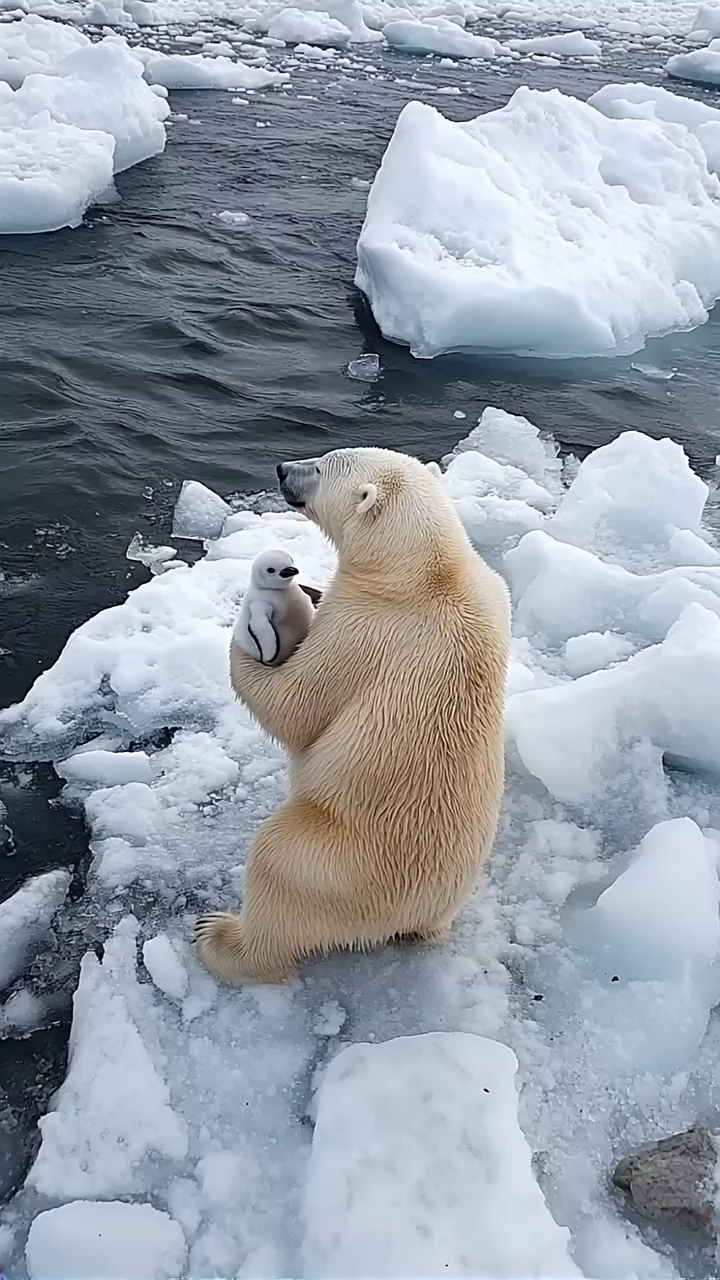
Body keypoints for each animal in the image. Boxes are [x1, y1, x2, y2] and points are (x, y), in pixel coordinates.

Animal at [193, 445, 509, 983]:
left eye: (320, 467)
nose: (282, 469)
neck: (427, 574)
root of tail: (414, 911)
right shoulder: (497, 596)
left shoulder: (363, 627)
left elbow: (296, 707)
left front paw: (247, 630)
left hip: (336, 863)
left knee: (277, 868)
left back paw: (219, 936)